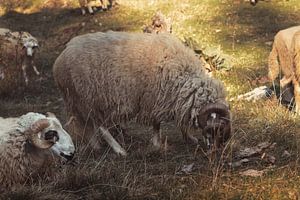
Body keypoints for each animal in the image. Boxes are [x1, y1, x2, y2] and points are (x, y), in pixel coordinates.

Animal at [53, 31, 232, 156]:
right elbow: (156, 124)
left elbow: (180, 120)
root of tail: (59, 61)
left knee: (90, 126)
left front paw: (189, 138)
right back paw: (120, 150)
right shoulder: (154, 100)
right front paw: (157, 144)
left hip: (85, 102)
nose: (222, 148)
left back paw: (96, 146)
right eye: (218, 127)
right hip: (88, 98)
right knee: (100, 126)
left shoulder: (173, 100)